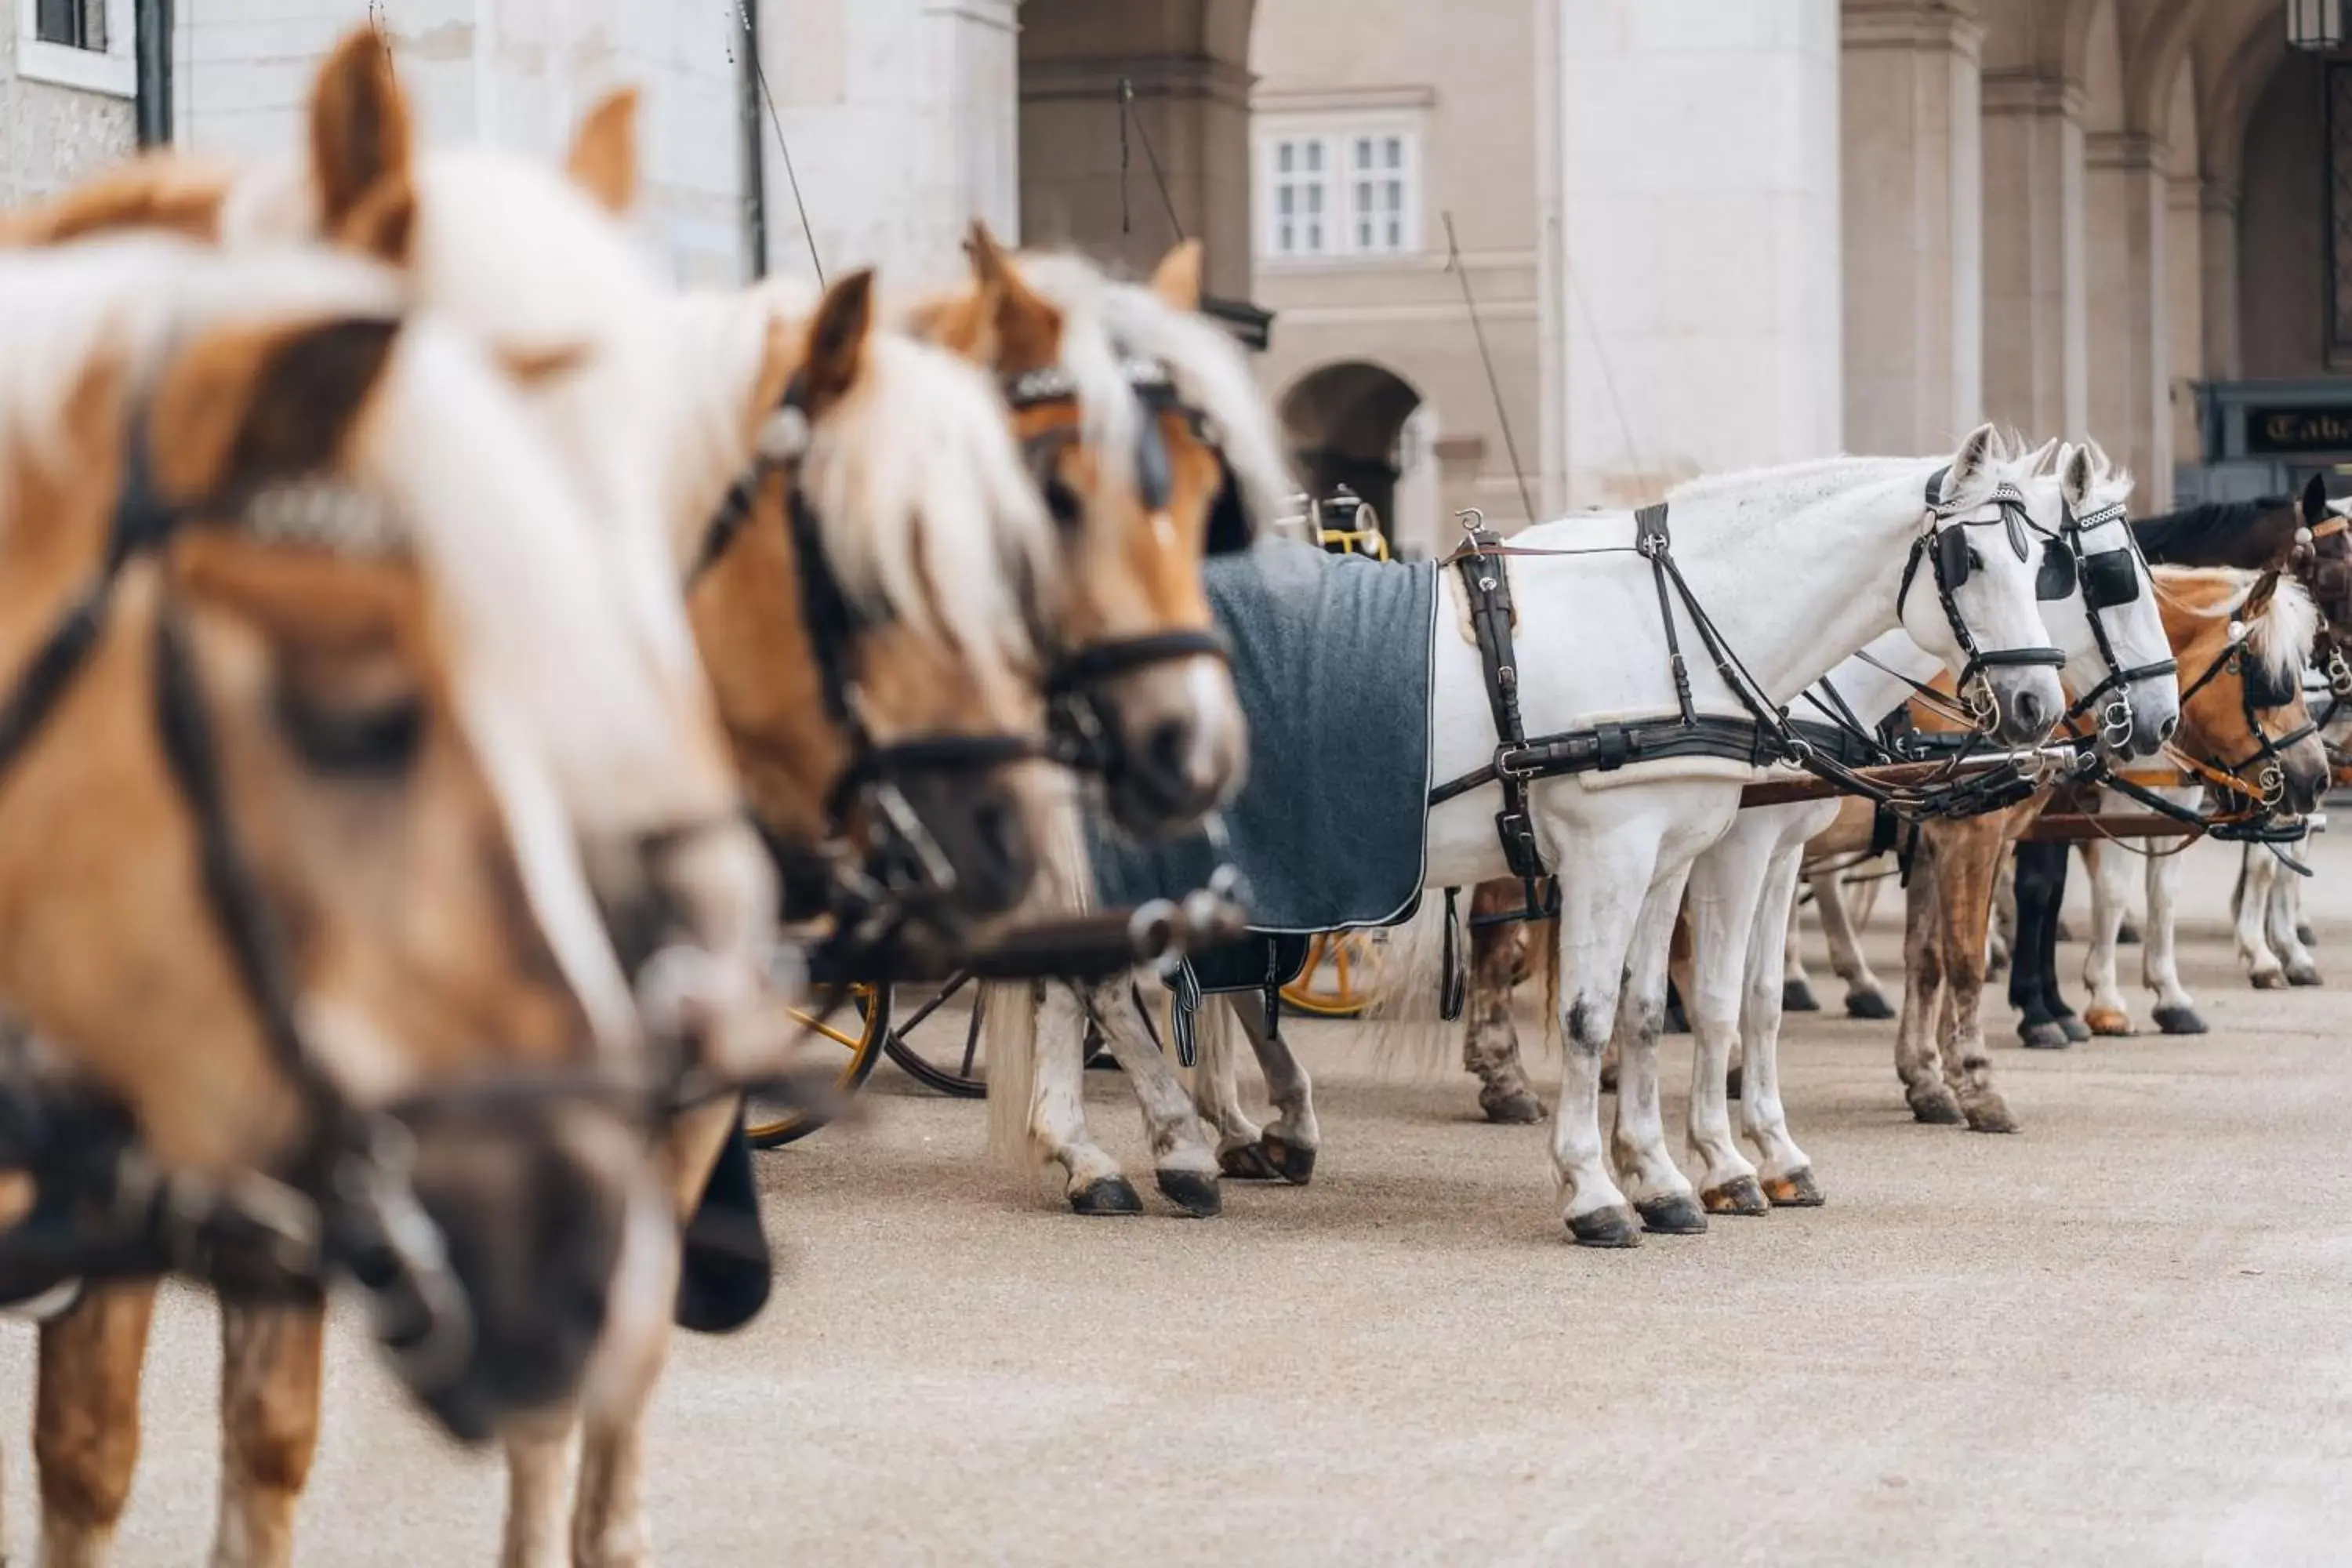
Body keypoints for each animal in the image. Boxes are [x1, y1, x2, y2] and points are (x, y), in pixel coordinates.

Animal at [997, 423, 2079, 1241]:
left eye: (2049, 564)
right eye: (1973, 558)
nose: (2037, 706)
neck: (1670, 629)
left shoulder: (1673, 856)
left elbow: (1656, 1009)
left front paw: (1668, 1174)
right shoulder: (1620, 850)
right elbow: (1598, 1015)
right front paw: (1600, 1187)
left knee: (1072, 983)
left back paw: (1097, 1153)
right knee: (1102, 983)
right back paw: (1171, 1144)